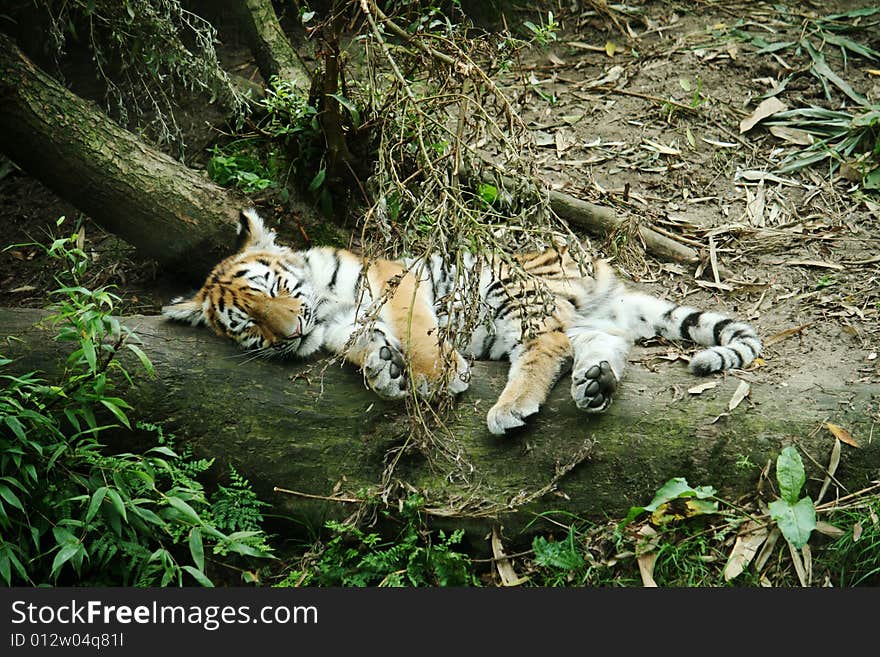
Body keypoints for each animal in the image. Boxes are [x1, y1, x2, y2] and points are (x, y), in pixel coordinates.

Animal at [163, 210, 764, 434]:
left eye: (273, 290)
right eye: (248, 324)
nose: (289, 332)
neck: (325, 307)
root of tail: (602, 272)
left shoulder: (393, 285)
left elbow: (415, 332)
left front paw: (437, 377)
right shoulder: (337, 331)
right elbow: (363, 347)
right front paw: (385, 373)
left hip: (510, 289)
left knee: (546, 345)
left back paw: (511, 407)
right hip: (576, 318)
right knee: (602, 341)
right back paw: (596, 384)